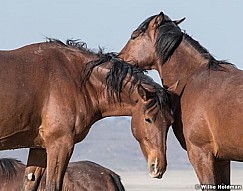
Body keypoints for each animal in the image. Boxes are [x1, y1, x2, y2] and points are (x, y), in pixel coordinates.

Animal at [0, 39, 174, 190]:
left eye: (170, 122)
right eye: (148, 119)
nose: (158, 167)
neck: (76, 79)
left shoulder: (39, 147)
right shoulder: (60, 144)